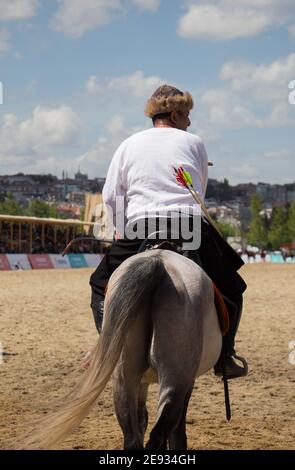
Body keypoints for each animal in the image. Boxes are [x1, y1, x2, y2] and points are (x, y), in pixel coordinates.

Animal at [20, 248, 223, 450]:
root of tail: (158, 263)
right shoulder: (188, 381)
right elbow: (175, 430)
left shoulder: (142, 382)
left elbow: (142, 419)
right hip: (174, 380)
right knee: (160, 432)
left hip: (124, 378)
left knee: (133, 437)